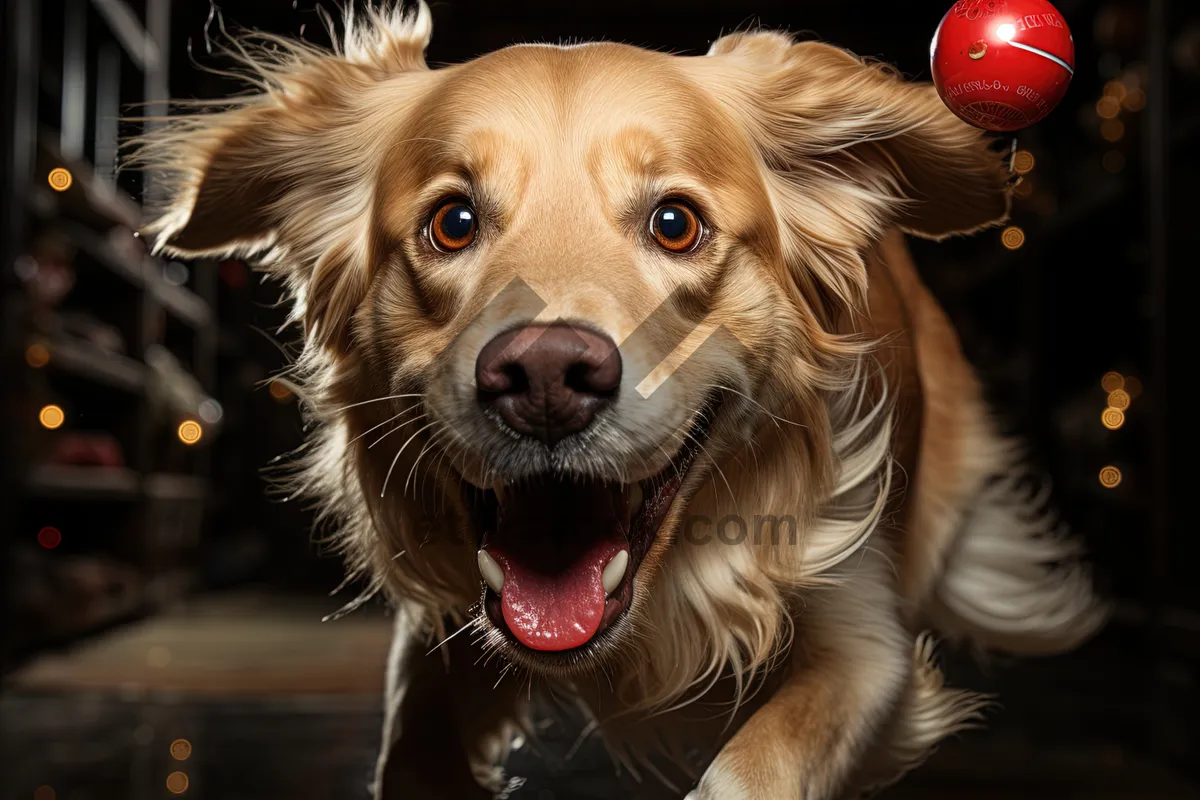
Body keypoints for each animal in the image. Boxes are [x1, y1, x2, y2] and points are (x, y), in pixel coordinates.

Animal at [131, 4, 1104, 796]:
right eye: (453, 222)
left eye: (676, 223)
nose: (545, 377)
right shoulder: (441, 624)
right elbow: (410, 753)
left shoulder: (869, 647)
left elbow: (755, 767)